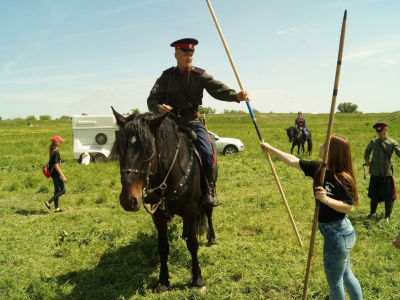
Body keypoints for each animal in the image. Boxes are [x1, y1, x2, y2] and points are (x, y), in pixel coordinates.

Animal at [111, 108, 216, 292]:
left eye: (148, 151)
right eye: (120, 149)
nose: (128, 200)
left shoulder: (191, 210)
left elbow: (193, 244)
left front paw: (197, 279)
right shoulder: (159, 214)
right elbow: (163, 247)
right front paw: (163, 281)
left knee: (208, 213)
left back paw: (212, 239)